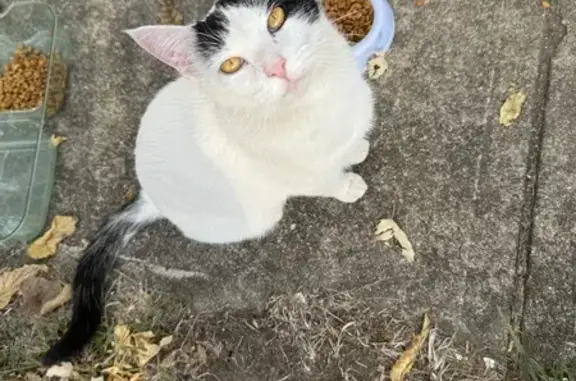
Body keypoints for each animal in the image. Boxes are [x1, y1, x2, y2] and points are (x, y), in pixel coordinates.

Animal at [44, 0, 374, 366]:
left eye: (275, 18)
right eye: (231, 65)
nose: (277, 67)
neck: (314, 106)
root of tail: (149, 198)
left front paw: (355, 147)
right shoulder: (295, 174)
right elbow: (324, 181)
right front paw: (347, 186)